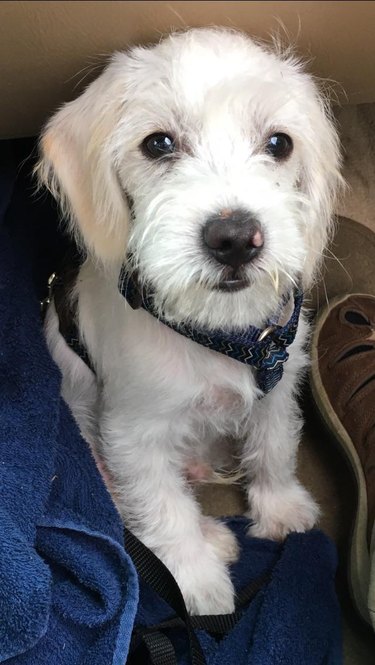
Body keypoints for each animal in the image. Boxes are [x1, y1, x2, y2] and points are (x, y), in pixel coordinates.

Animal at [38, 28, 344, 616]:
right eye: (158, 144)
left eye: (279, 144)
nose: (236, 239)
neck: (219, 334)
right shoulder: (134, 434)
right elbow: (162, 508)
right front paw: (197, 581)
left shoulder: (278, 385)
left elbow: (275, 448)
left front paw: (281, 510)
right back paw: (212, 539)